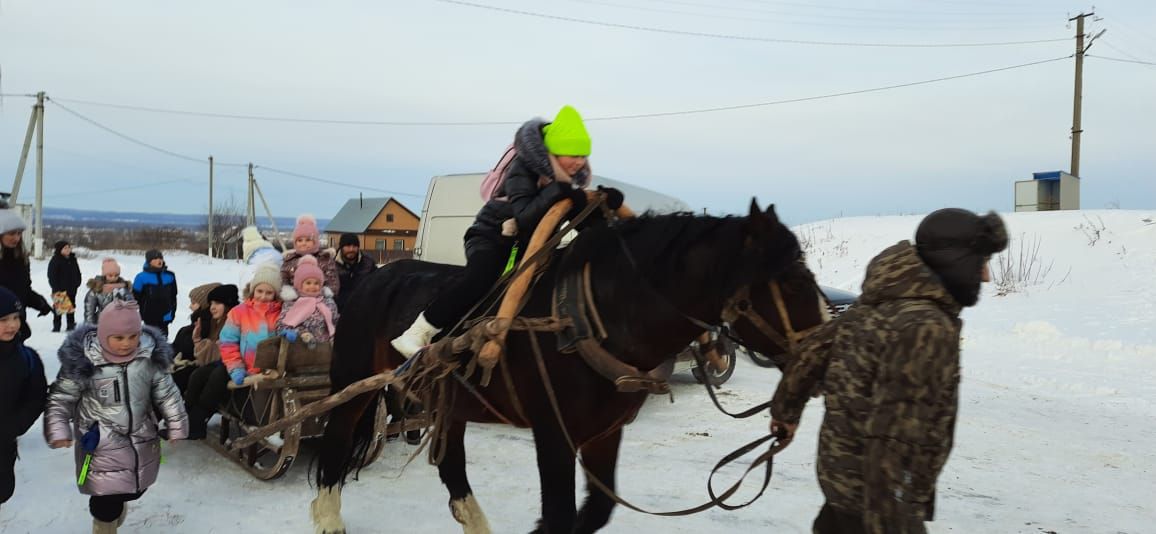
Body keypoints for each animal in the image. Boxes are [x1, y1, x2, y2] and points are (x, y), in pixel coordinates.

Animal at [312, 199, 827, 534]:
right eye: (793, 281)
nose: (821, 354)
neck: (590, 319)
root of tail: (375, 277)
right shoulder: (553, 432)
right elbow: (561, 514)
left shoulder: (605, 433)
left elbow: (595, 511)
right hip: (355, 387)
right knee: (335, 444)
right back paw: (328, 516)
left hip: (450, 401)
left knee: (452, 464)